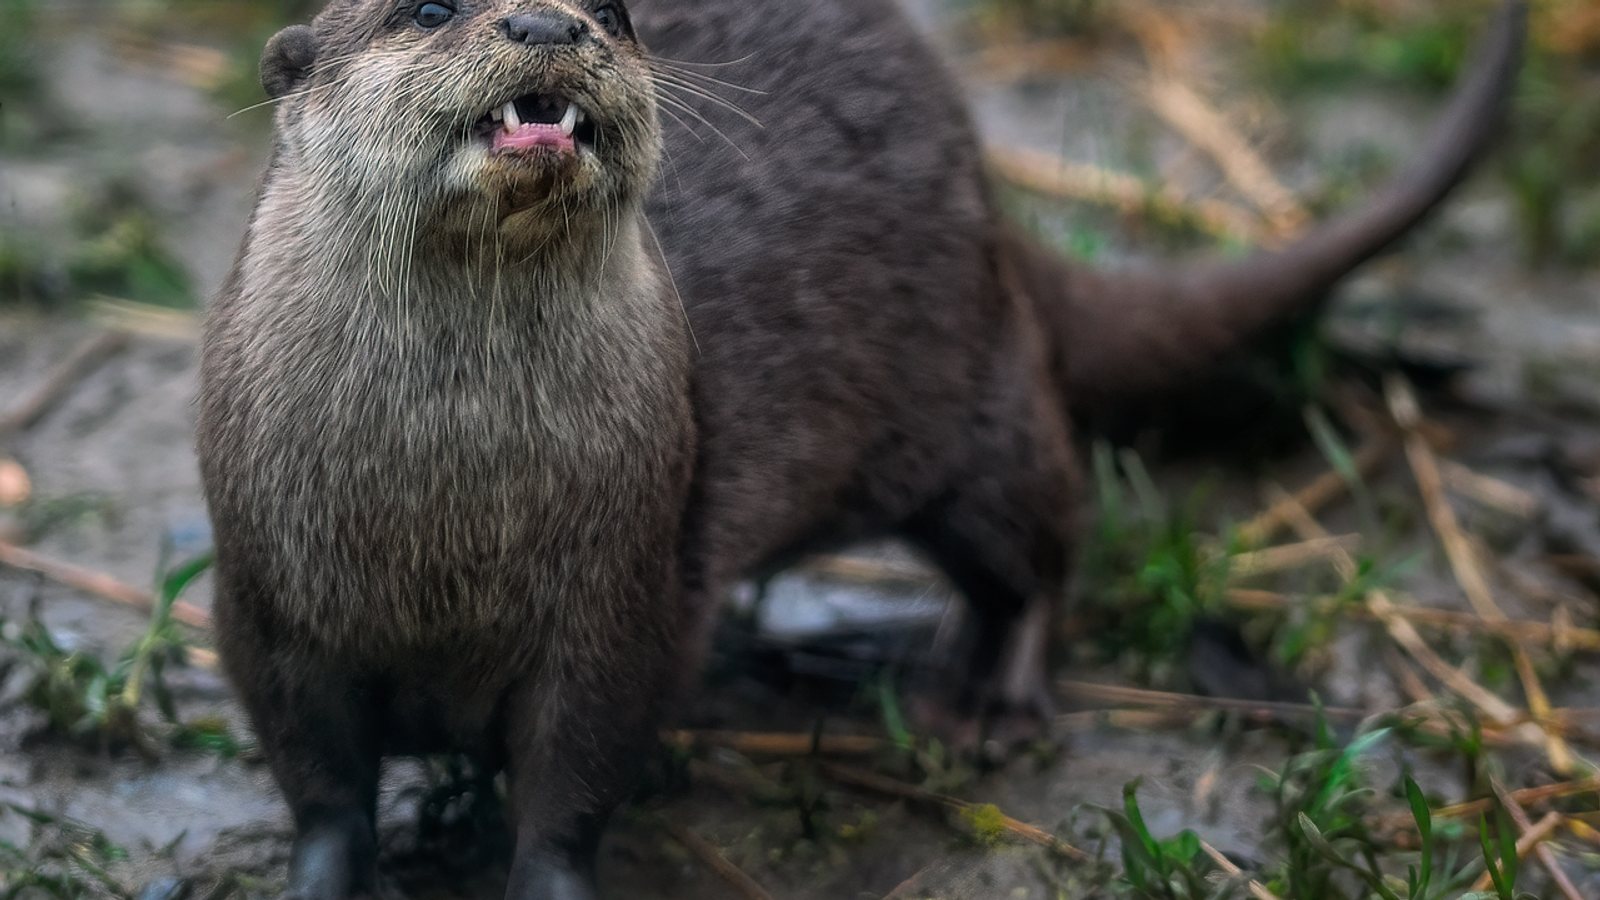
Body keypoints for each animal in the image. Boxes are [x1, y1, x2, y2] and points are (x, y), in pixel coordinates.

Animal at [195, 2, 691, 900]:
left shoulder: (618, 605)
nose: (547, 24)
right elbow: (316, 772)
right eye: (428, 12)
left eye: (613, 15)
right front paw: (324, 874)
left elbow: (576, 770)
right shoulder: (270, 604)